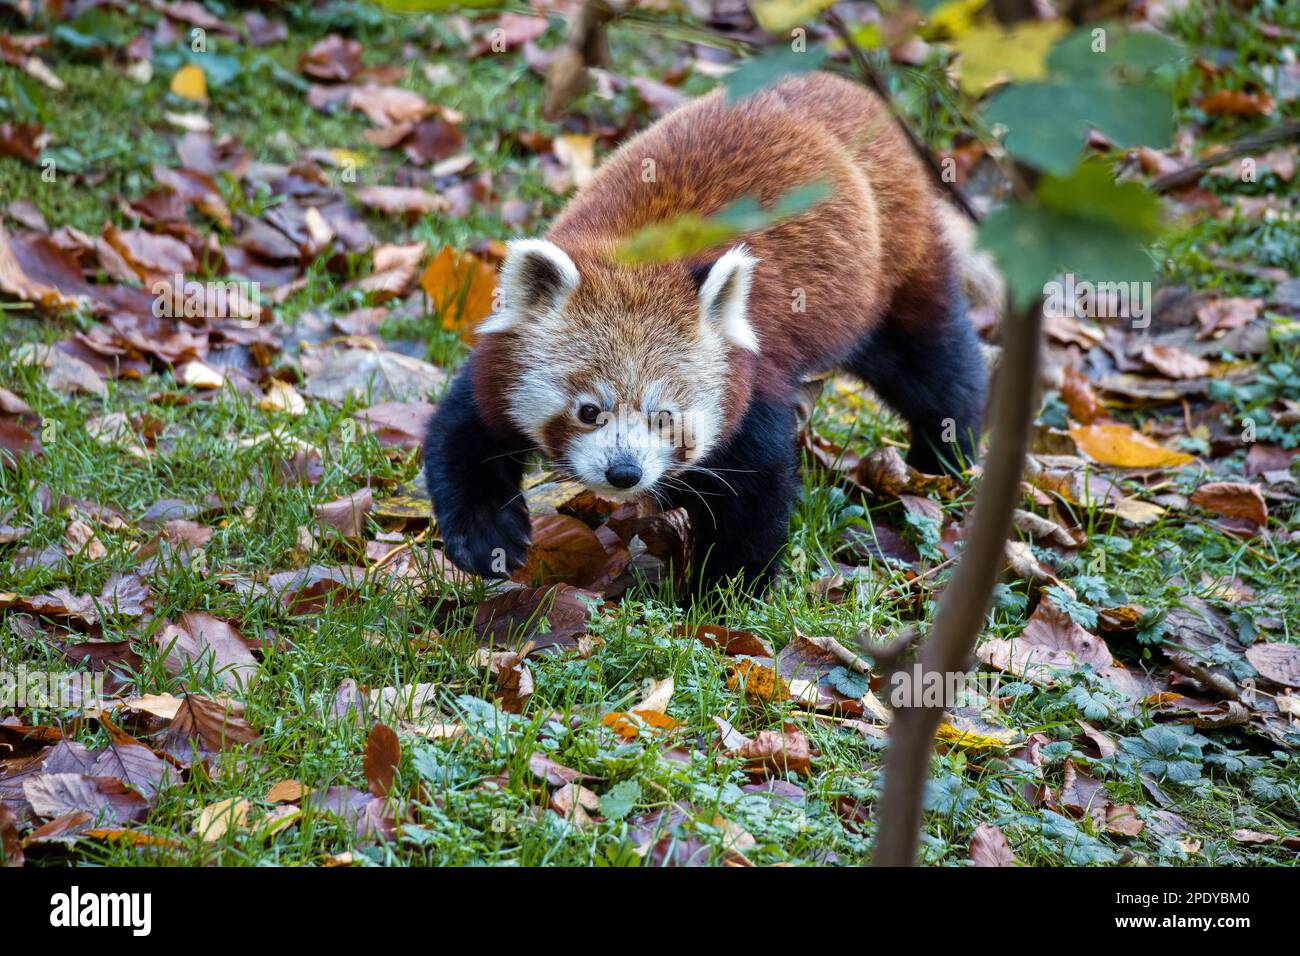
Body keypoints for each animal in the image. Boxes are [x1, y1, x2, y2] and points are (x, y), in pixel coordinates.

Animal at [426, 74, 993, 595]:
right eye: (589, 410)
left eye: (664, 417)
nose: (624, 473)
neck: (638, 258)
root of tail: (852, 90)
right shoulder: (500, 360)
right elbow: (463, 429)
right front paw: (487, 538)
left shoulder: (749, 377)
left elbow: (754, 494)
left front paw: (722, 596)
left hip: (893, 265)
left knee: (934, 366)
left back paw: (941, 459)